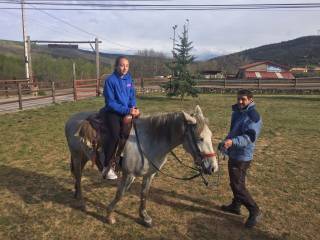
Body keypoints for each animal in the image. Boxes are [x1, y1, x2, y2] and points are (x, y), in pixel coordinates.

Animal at [65, 105, 220, 227]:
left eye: (211, 135)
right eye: (200, 138)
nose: (213, 168)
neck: (149, 141)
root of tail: (71, 119)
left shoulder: (149, 174)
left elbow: (144, 193)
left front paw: (144, 217)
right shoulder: (129, 175)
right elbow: (120, 194)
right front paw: (109, 216)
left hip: (85, 156)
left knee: (77, 175)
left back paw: (76, 193)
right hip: (77, 155)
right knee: (78, 174)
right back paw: (81, 201)